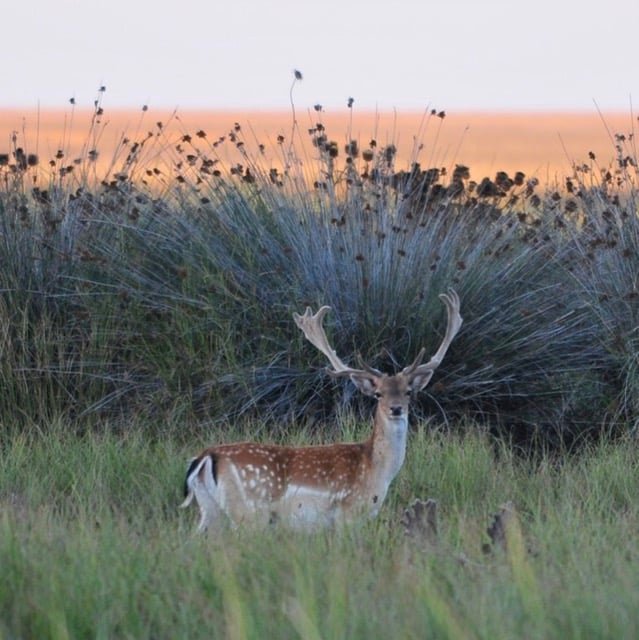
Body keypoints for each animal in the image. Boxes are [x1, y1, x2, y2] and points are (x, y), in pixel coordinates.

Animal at [181, 290, 462, 532]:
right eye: (378, 394)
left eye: (408, 391)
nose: (396, 409)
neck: (377, 471)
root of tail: (204, 458)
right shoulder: (349, 513)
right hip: (249, 513)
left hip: (210, 510)